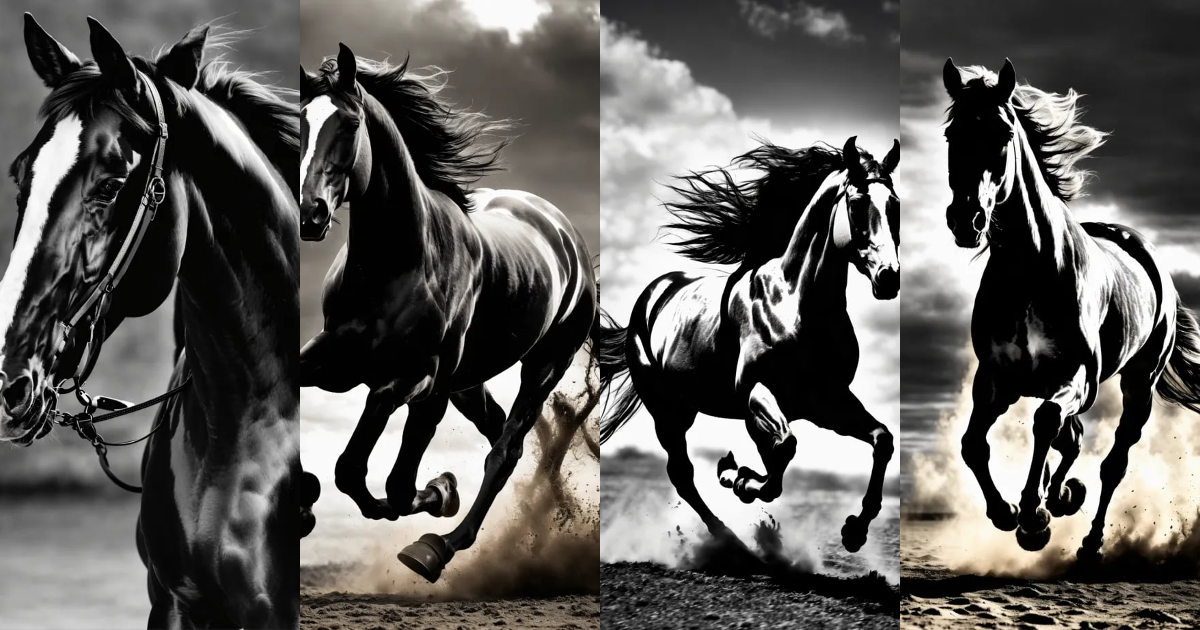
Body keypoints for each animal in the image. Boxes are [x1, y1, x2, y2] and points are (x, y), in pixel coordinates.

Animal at [298, 44, 599, 583]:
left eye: (349, 124)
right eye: (299, 121)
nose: (309, 213)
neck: (393, 266)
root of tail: (566, 235)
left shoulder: (416, 380)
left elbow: (369, 477)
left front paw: (440, 494)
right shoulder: (333, 362)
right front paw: (302, 501)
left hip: (541, 367)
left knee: (504, 452)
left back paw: (438, 546)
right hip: (467, 384)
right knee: (500, 431)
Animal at [594, 137, 900, 553]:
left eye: (894, 204)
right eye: (857, 204)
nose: (889, 277)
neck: (796, 302)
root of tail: (652, 295)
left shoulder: (827, 401)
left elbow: (881, 439)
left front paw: (855, 530)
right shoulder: (756, 394)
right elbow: (782, 452)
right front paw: (736, 478)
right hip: (667, 410)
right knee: (681, 472)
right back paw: (729, 537)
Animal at [941, 58, 1200, 560]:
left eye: (1003, 133)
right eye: (950, 134)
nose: (967, 220)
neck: (1030, 271)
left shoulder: (1076, 376)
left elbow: (1045, 424)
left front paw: (1033, 516)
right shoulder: (997, 379)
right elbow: (973, 444)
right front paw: (1011, 511)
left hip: (1139, 384)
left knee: (1112, 462)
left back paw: (1089, 540)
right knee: (1072, 439)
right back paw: (1061, 496)